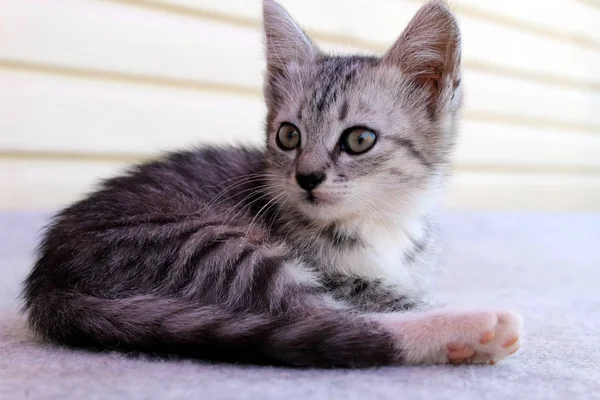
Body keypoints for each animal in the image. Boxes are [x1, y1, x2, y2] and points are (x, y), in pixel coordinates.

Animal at [22, 0, 520, 368]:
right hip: (207, 245)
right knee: (319, 318)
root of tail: (49, 283)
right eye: (288, 135)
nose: (307, 176)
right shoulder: (339, 277)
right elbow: (381, 300)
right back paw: (472, 328)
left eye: (359, 139)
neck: (383, 220)